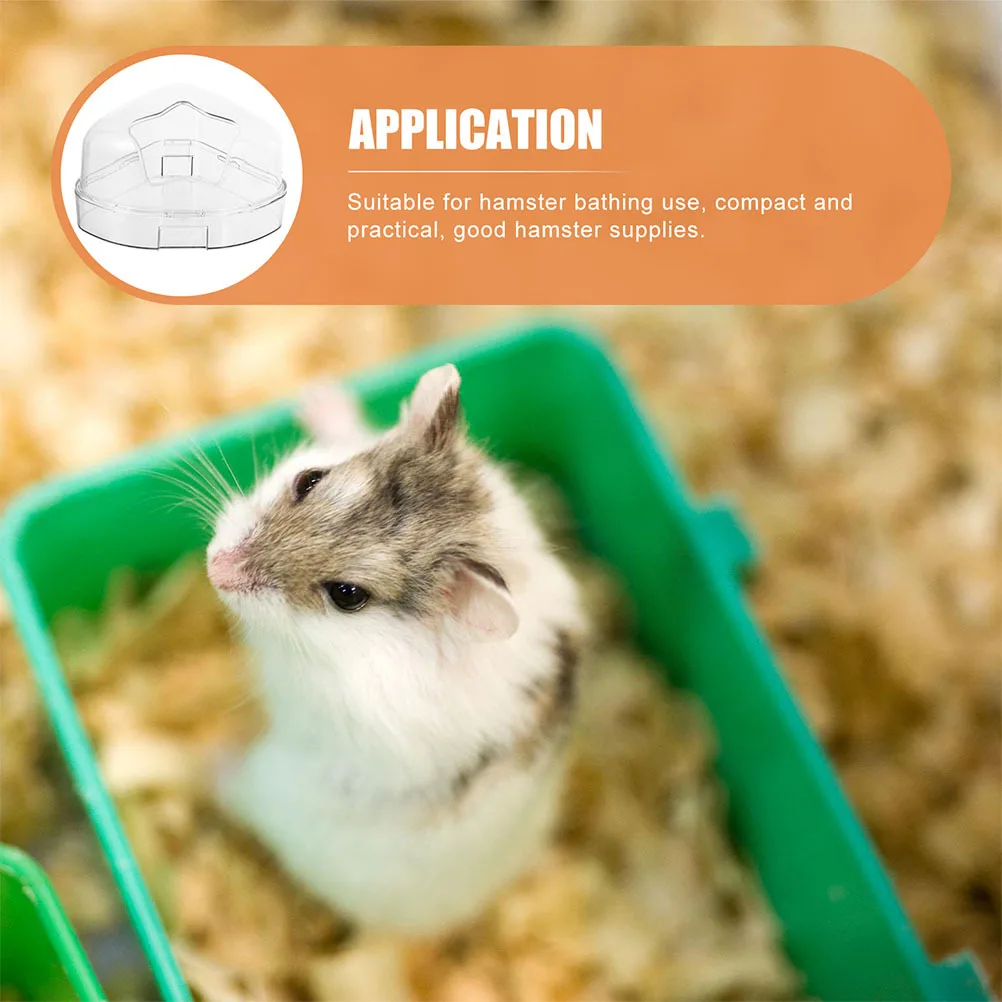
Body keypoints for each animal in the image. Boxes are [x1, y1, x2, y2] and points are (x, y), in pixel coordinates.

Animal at [206, 364, 585, 934]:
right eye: (308, 479)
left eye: (347, 595)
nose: (215, 568)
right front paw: (318, 397)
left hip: (277, 787)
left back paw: (206, 761)